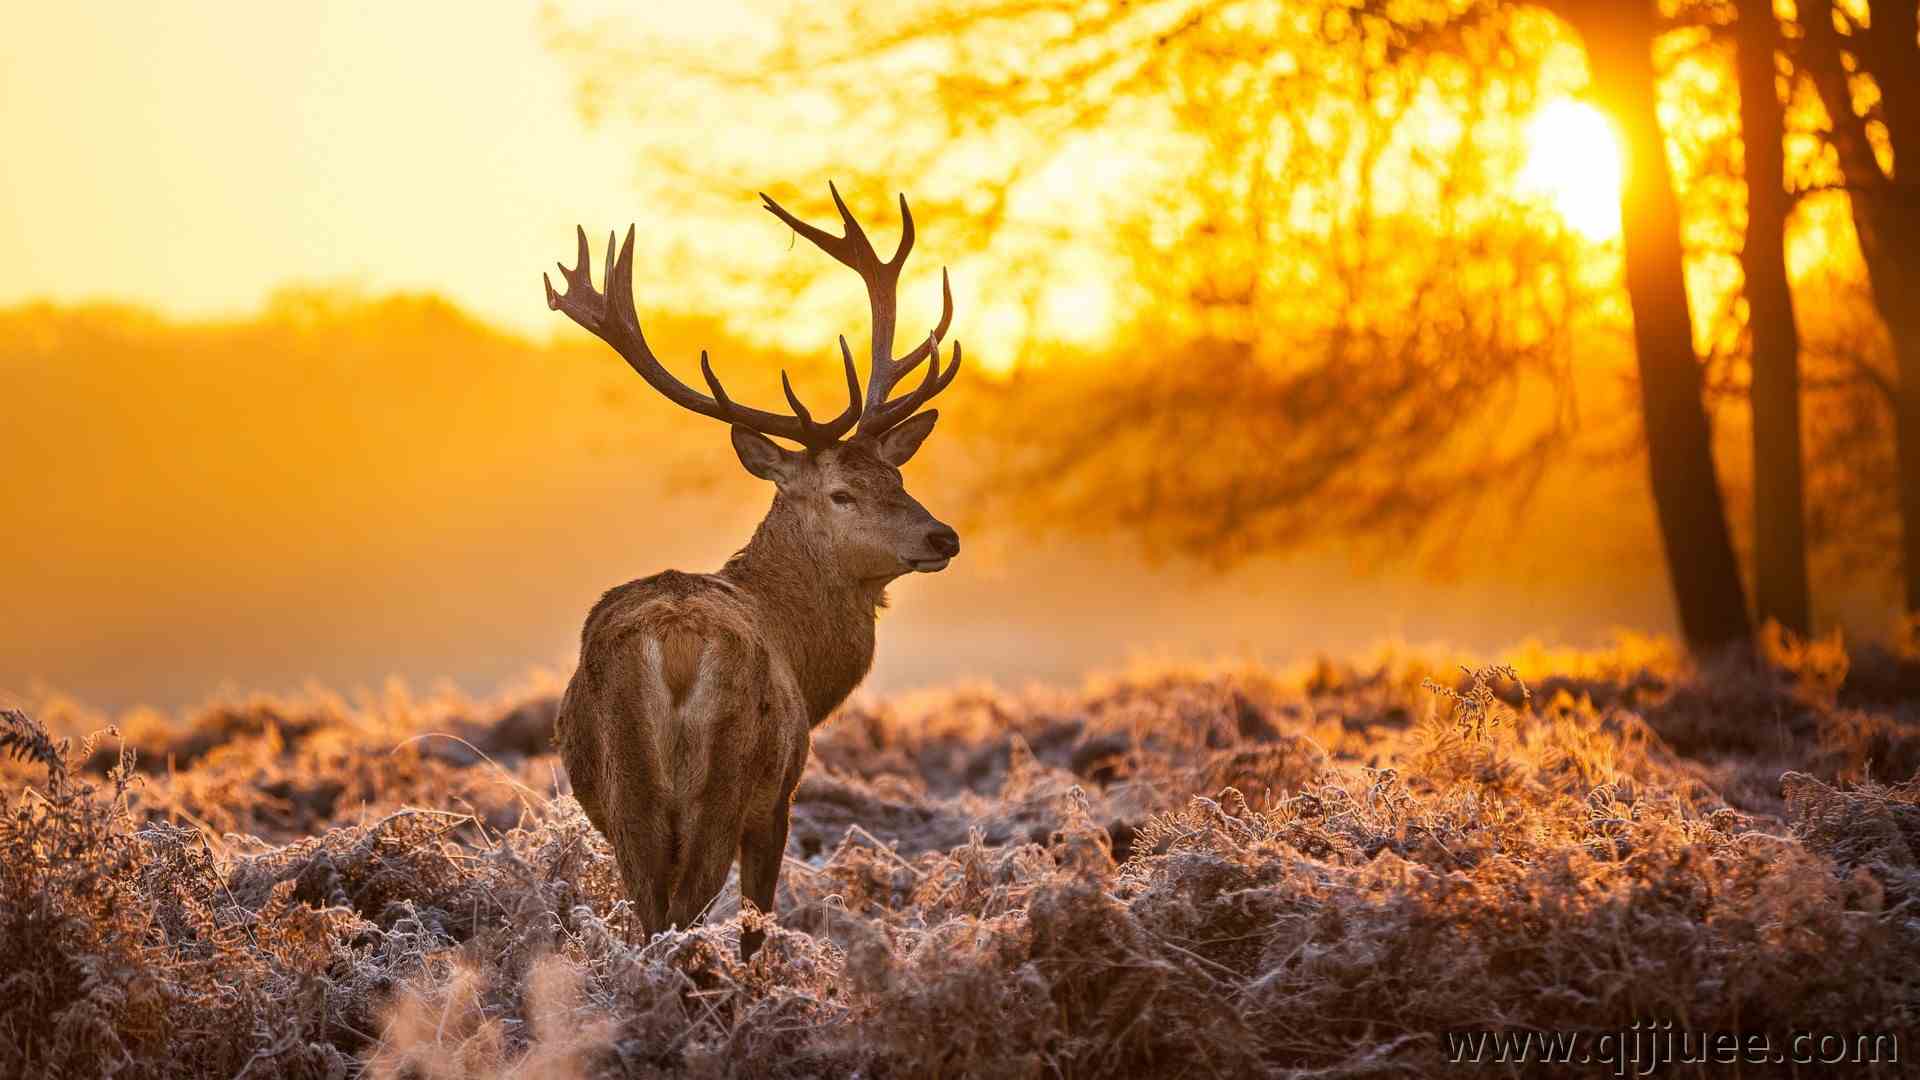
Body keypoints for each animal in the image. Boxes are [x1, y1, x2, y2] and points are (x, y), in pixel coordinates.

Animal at [543, 185, 962, 960]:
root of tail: (675, 646)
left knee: (651, 916)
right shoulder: (780, 797)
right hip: (727, 781)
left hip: (626, 792)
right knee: (684, 916)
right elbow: (757, 924)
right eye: (842, 493)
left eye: (897, 475)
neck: (805, 656)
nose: (942, 535)